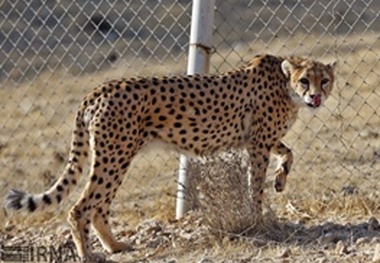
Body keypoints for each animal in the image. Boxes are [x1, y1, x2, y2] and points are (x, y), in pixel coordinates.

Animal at [5, 54, 336, 262]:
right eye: (305, 80)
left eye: (325, 80)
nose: (316, 97)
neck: (285, 85)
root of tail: (98, 89)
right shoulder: (257, 144)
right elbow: (255, 186)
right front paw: (257, 218)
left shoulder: (258, 140)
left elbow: (288, 152)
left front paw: (280, 181)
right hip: (115, 156)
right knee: (81, 207)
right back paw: (87, 254)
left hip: (117, 157)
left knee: (99, 207)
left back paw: (115, 246)